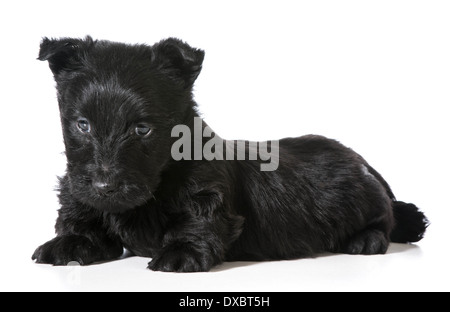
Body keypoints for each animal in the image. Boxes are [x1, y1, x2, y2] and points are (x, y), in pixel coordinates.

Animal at [32, 36, 428, 270]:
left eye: (142, 129)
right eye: (82, 125)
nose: (104, 187)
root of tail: (363, 162)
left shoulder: (209, 194)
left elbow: (199, 221)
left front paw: (180, 253)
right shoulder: (78, 188)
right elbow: (80, 217)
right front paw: (68, 243)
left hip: (363, 197)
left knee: (386, 217)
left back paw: (365, 239)